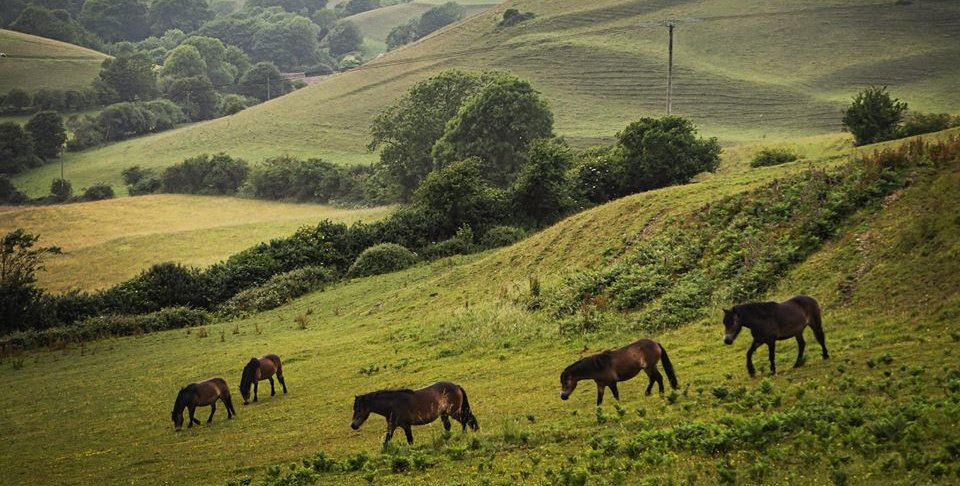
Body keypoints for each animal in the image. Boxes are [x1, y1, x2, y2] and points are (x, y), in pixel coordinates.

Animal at [350, 381, 480, 445]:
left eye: (359, 410)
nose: (353, 425)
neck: (392, 404)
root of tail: (456, 386)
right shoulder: (392, 426)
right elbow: (387, 440)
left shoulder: (406, 425)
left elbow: (410, 440)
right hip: (444, 414)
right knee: (450, 425)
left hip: (453, 412)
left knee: (464, 420)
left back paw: (463, 434)